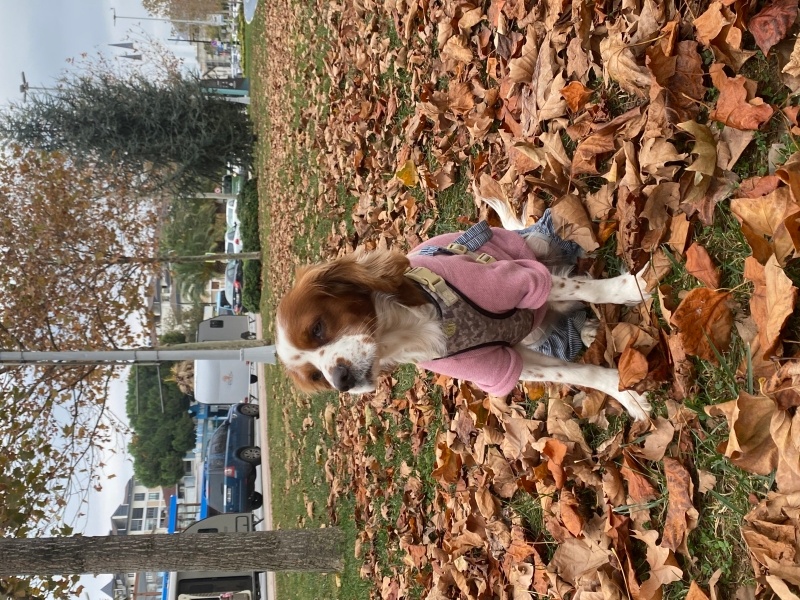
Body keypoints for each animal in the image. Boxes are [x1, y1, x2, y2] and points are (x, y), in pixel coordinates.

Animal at [274, 195, 648, 420]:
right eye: (315, 377)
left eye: (318, 328)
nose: (341, 381)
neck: (415, 325)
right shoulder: (505, 362)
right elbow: (576, 373)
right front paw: (625, 394)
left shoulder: (523, 279)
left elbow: (589, 288)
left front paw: (632, 287)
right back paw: (586, 330)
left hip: (535, 245)